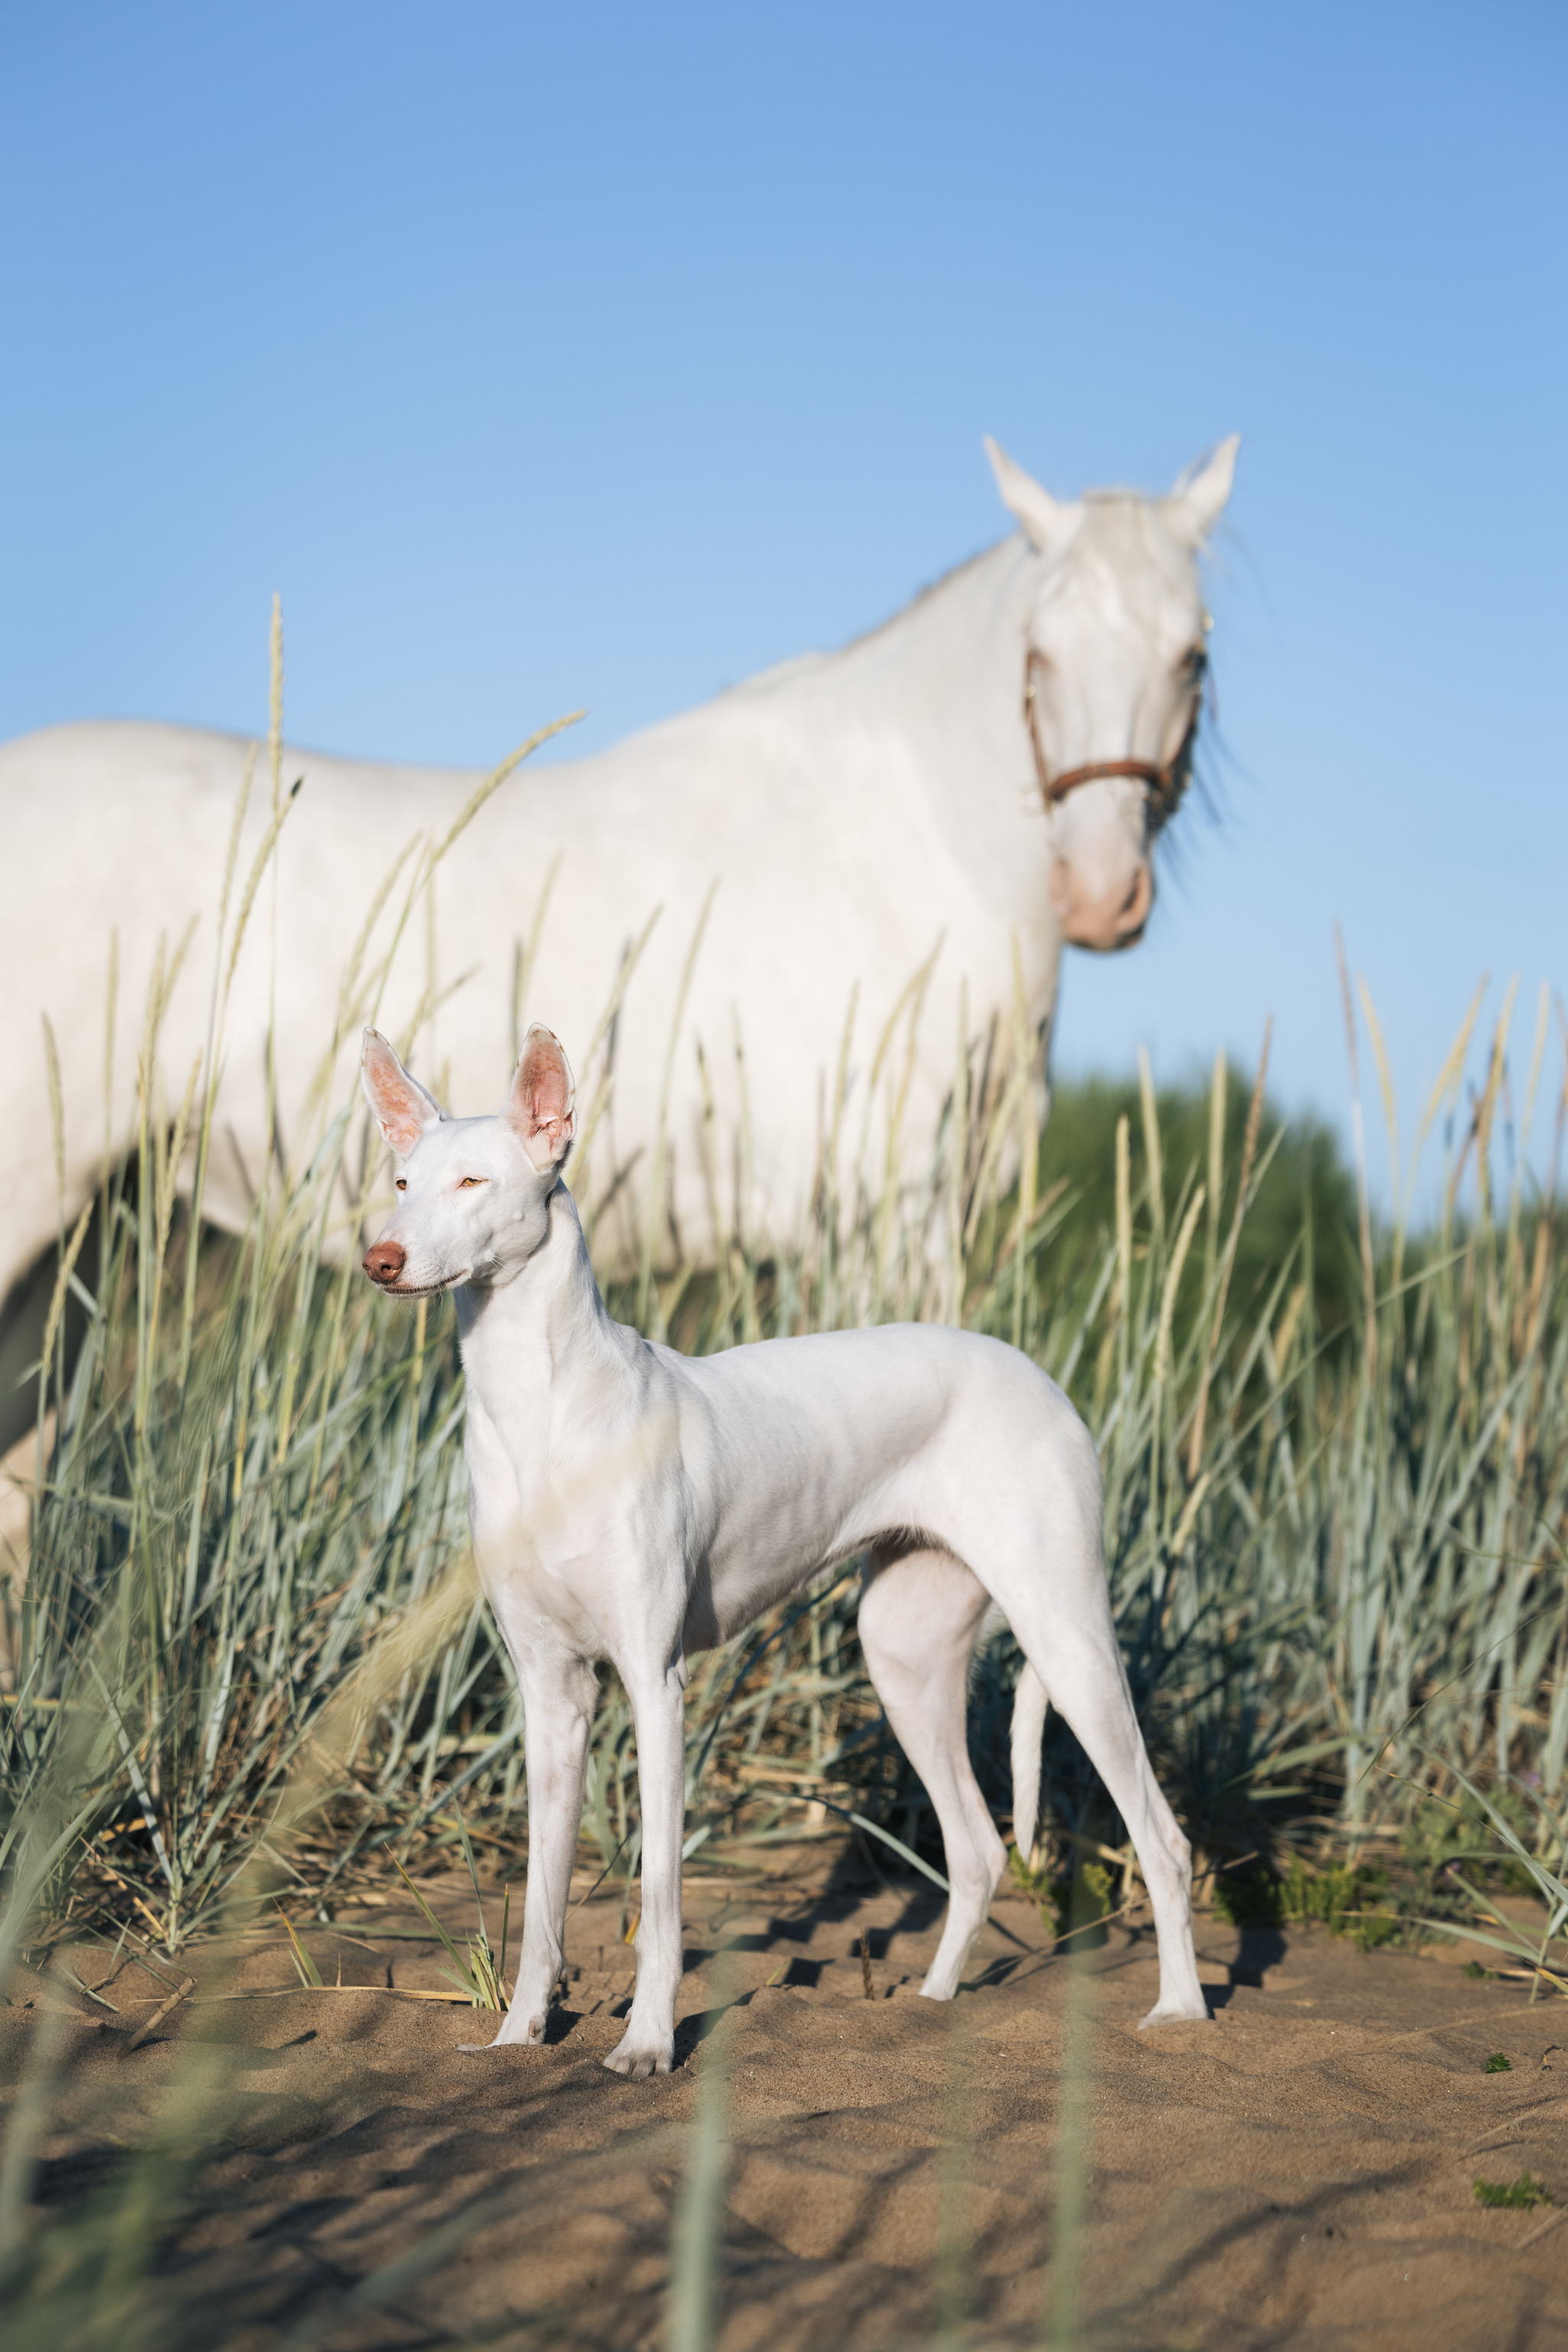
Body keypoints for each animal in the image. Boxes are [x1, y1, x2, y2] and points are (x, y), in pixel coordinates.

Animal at [361, 1021, 1213, 2069]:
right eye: (403, 1181)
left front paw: (647, 2045)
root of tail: (1037, 1373)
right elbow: (542, 1904)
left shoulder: (654, 1685)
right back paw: (929, 2007)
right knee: (976, 1852)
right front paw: (519, 2038)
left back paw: (1179, 2013)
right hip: (902, 1657)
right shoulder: (551, 1696)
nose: (380, 1258)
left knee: (1161, 1842)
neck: (541, 1408)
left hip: (1069, 1641)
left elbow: (659, 1897)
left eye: (474, 1182)